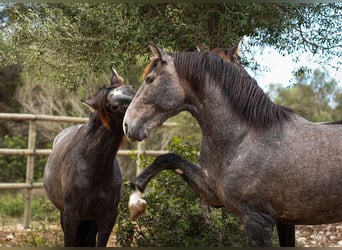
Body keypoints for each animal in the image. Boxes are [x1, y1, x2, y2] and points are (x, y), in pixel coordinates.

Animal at [44, 68, 136, 246]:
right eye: (114, 106)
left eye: (132, 88)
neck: (94, 168)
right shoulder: (71, 216)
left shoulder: (108, 217)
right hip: (66, 215)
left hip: (91, 220)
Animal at [123, 43, 342, 246]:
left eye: (150, 79)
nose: (127, 124)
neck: (244, 138)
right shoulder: (214, 195)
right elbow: (167, 158)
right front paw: (135, 201)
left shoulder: (258, 220)